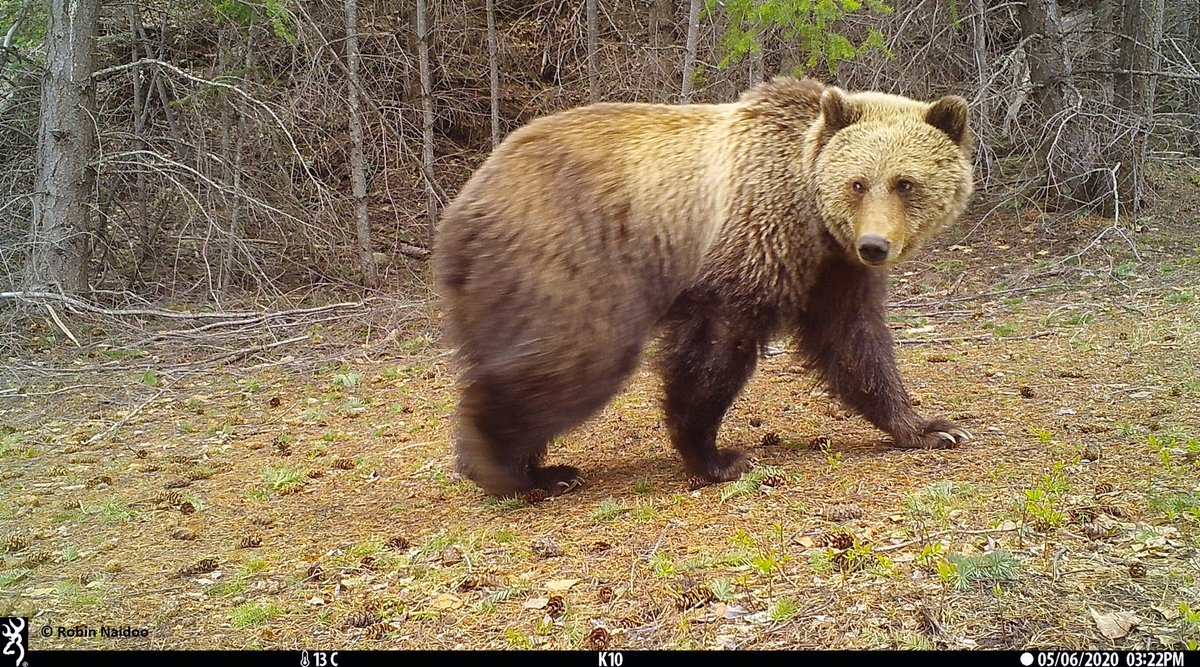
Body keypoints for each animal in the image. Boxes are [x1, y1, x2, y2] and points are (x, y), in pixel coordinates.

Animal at [435, 76, 975, 499]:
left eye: (905, 183)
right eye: (858, 183)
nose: (875, 245)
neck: (810, 217)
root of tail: (461, 209)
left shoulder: (833, 271)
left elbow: (854, 343)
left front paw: (931, 428)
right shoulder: (752, 239)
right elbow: (716, 348)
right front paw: (717, 457)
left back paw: (532, 468)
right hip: (566, 251)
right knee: (579, 355)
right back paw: (512, 470)